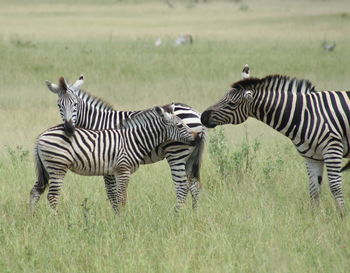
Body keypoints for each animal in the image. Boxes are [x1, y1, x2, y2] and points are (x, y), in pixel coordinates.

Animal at [29, 103, 200, 214]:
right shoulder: (123, 169)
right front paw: (122, 219)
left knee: (36, 190)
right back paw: (57, 220)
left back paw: (31, 218)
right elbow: (121, 197)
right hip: (57, 166)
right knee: (52, 196)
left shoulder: (117, 171)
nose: (197, 137)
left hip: (47, 168)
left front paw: (118, 217)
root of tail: (41, 135)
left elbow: (116, 197)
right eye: (179, 125)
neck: (134, 139)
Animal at [44, 76, 206, 210]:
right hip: (190, 156)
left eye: (75, 104)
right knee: (194, 185)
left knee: (182, 186)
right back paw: (194, 214)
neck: (97, 122)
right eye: (59, 105)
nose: (69, 128)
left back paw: (176, 215)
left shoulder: (107, 160)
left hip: (176, 153)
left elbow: (112, 193)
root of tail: (196, 113)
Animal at [200, 74, 350, 215]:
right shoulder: (312, 157)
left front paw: (342, 216)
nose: (203, 117)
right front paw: (315, 217)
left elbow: (335, 186)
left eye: (231, 104)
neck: (306, 115)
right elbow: (314, 190)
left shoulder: (332, 149)